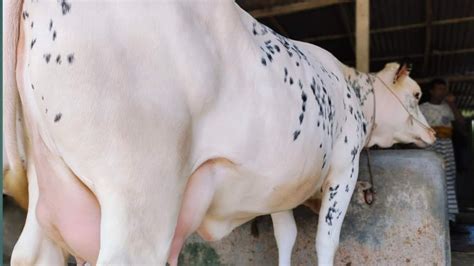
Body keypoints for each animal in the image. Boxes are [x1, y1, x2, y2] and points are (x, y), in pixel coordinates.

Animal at [3, 1, 436, 264]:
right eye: (416, 95)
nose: (433, 134)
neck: (348, 86)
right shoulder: (344, 171)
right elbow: (325, 241)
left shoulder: (279, 188)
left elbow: (287, 235)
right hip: (141, 190)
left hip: (47, 184)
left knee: (29, 253)